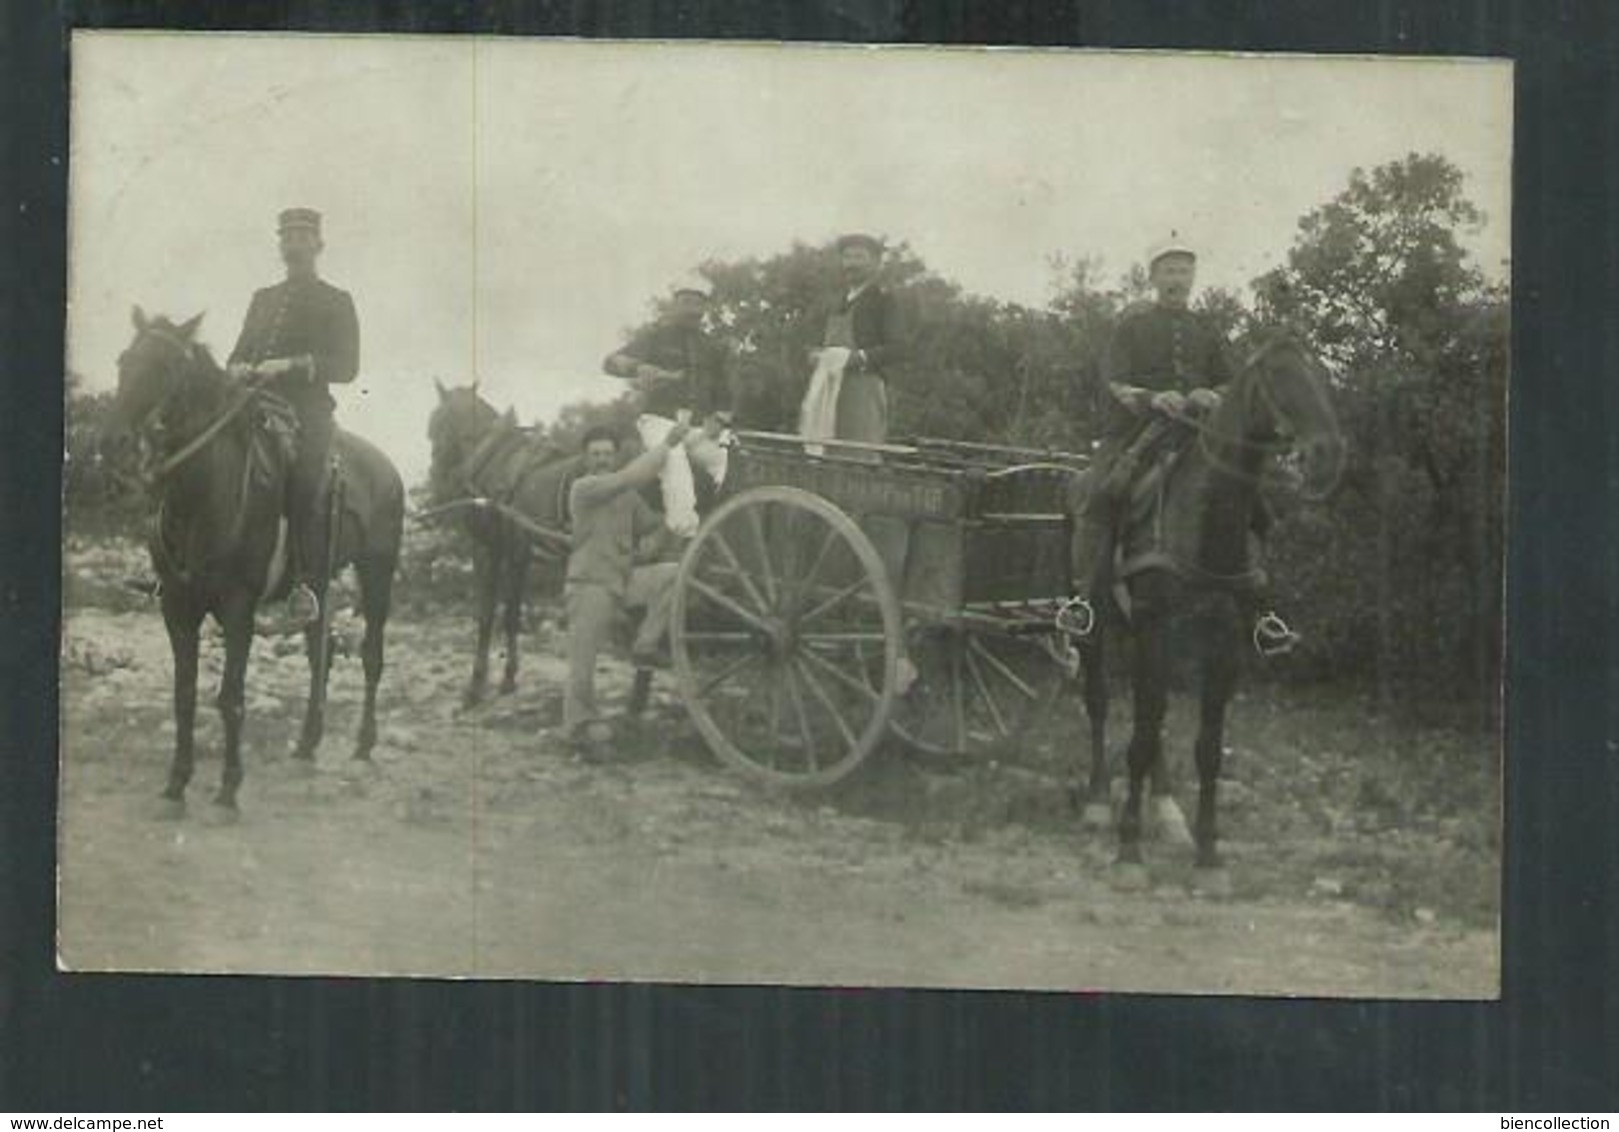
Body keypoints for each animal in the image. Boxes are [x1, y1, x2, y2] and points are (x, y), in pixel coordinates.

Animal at [102, 306, 404, 816]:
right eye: (124, 362)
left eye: (168, 368)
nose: (115, 449)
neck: (202, 497)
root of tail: (388, 468)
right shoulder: (177, 606)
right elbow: (184, 695)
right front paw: (177, 782)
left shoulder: (238, 607)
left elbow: (231, 697)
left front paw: (228, 785)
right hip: (321, 583)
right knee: (319, 654)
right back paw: (307, 742)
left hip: (377, 572)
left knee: (370, 656)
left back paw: (363, 743)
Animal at [424, 380, 582, 709]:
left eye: (439, 422)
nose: (436, 477)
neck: (492, 464)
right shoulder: (506, 554)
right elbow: (505, 615)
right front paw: (503, 676)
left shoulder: (497, 553)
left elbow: (496, 615)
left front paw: (481, 682)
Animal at [1068, 331, 1347, 887]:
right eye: (1277, 376)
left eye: (1321, 373)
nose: (1327, 456)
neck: (1202, 521)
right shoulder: (1155, 629)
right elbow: (1139, 735)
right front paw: (1128, 850)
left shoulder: (1224, 644)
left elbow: (1207, 748)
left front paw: (1208, 853)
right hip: (1098, 626)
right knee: (1100, 702)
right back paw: (1098, 801)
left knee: (1150, 722)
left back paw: (1168, 811)